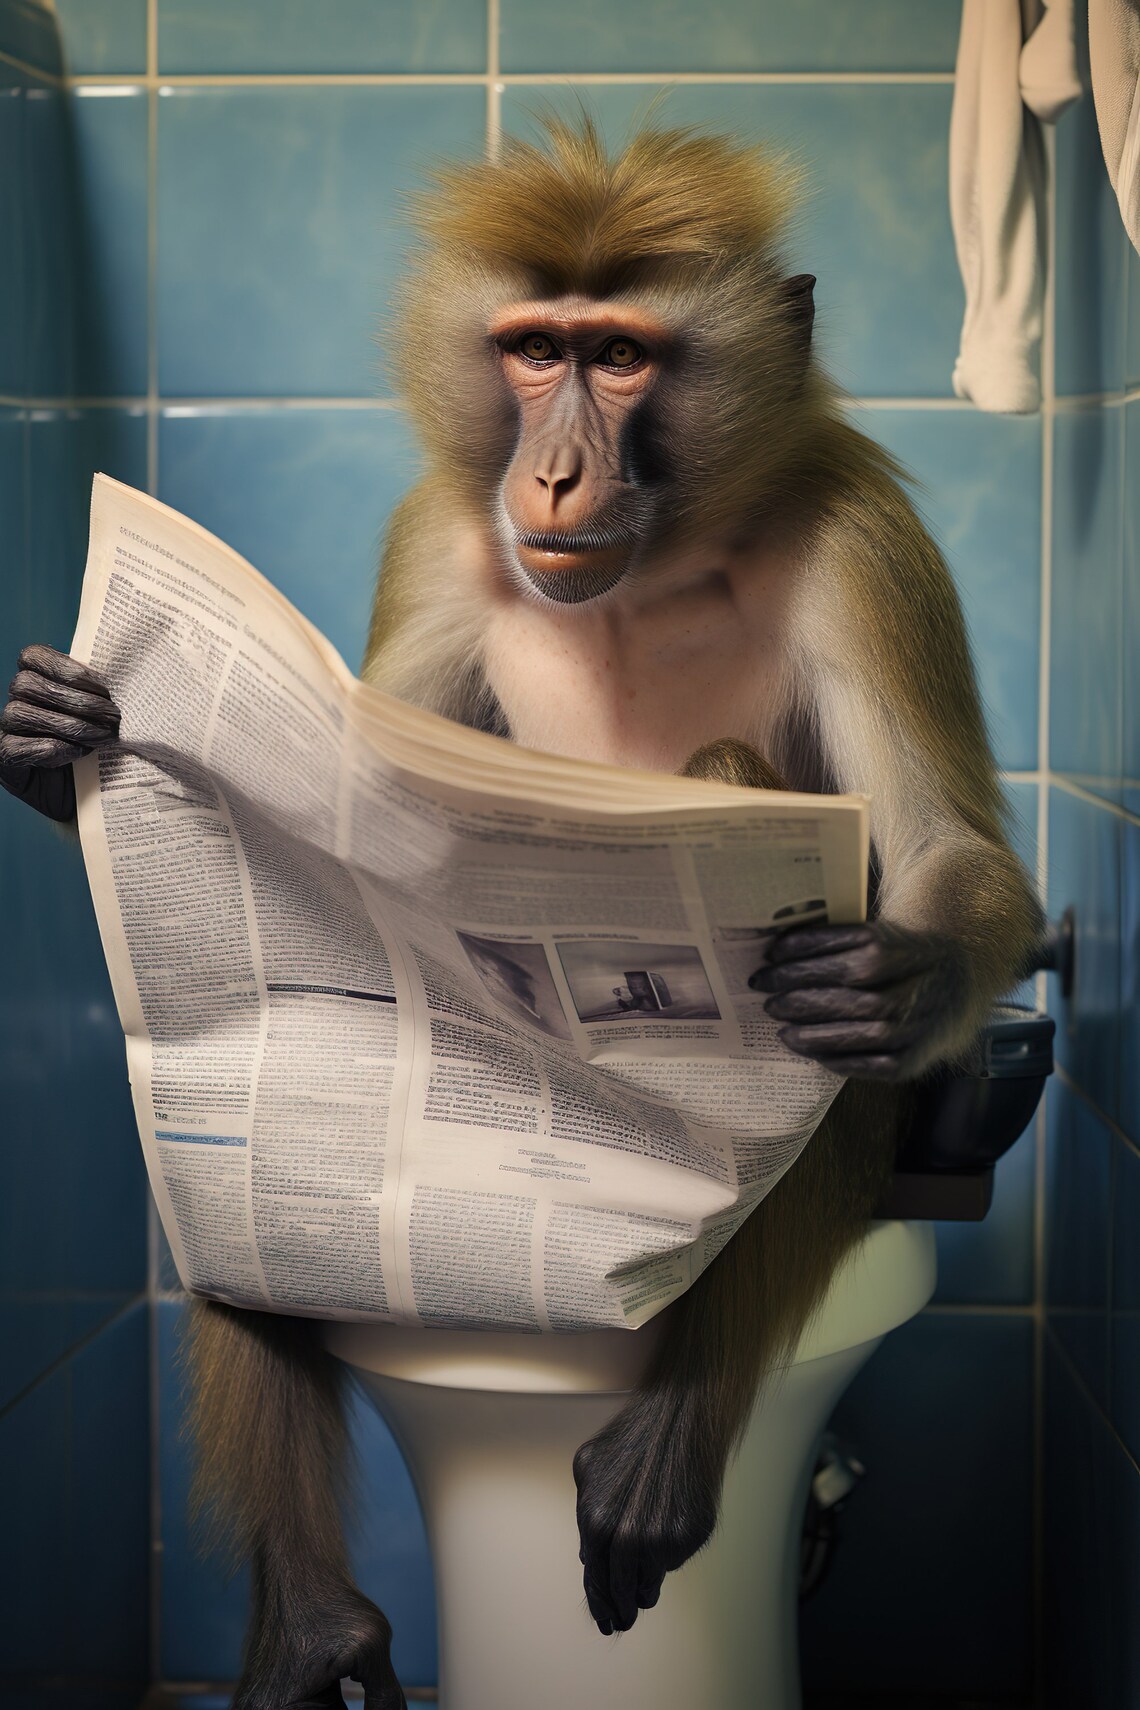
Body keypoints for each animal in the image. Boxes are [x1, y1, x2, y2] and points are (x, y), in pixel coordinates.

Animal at [0, 119, 1042, 1707]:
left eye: (620, 358)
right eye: (536, 347)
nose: (550, 472)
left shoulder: (866, 538)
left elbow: (942, 853)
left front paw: (893, 972)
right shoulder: (442, 536)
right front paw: (65, 749)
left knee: (782, 925)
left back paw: (676, 1426)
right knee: (235, 1176)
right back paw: (314, 1625)